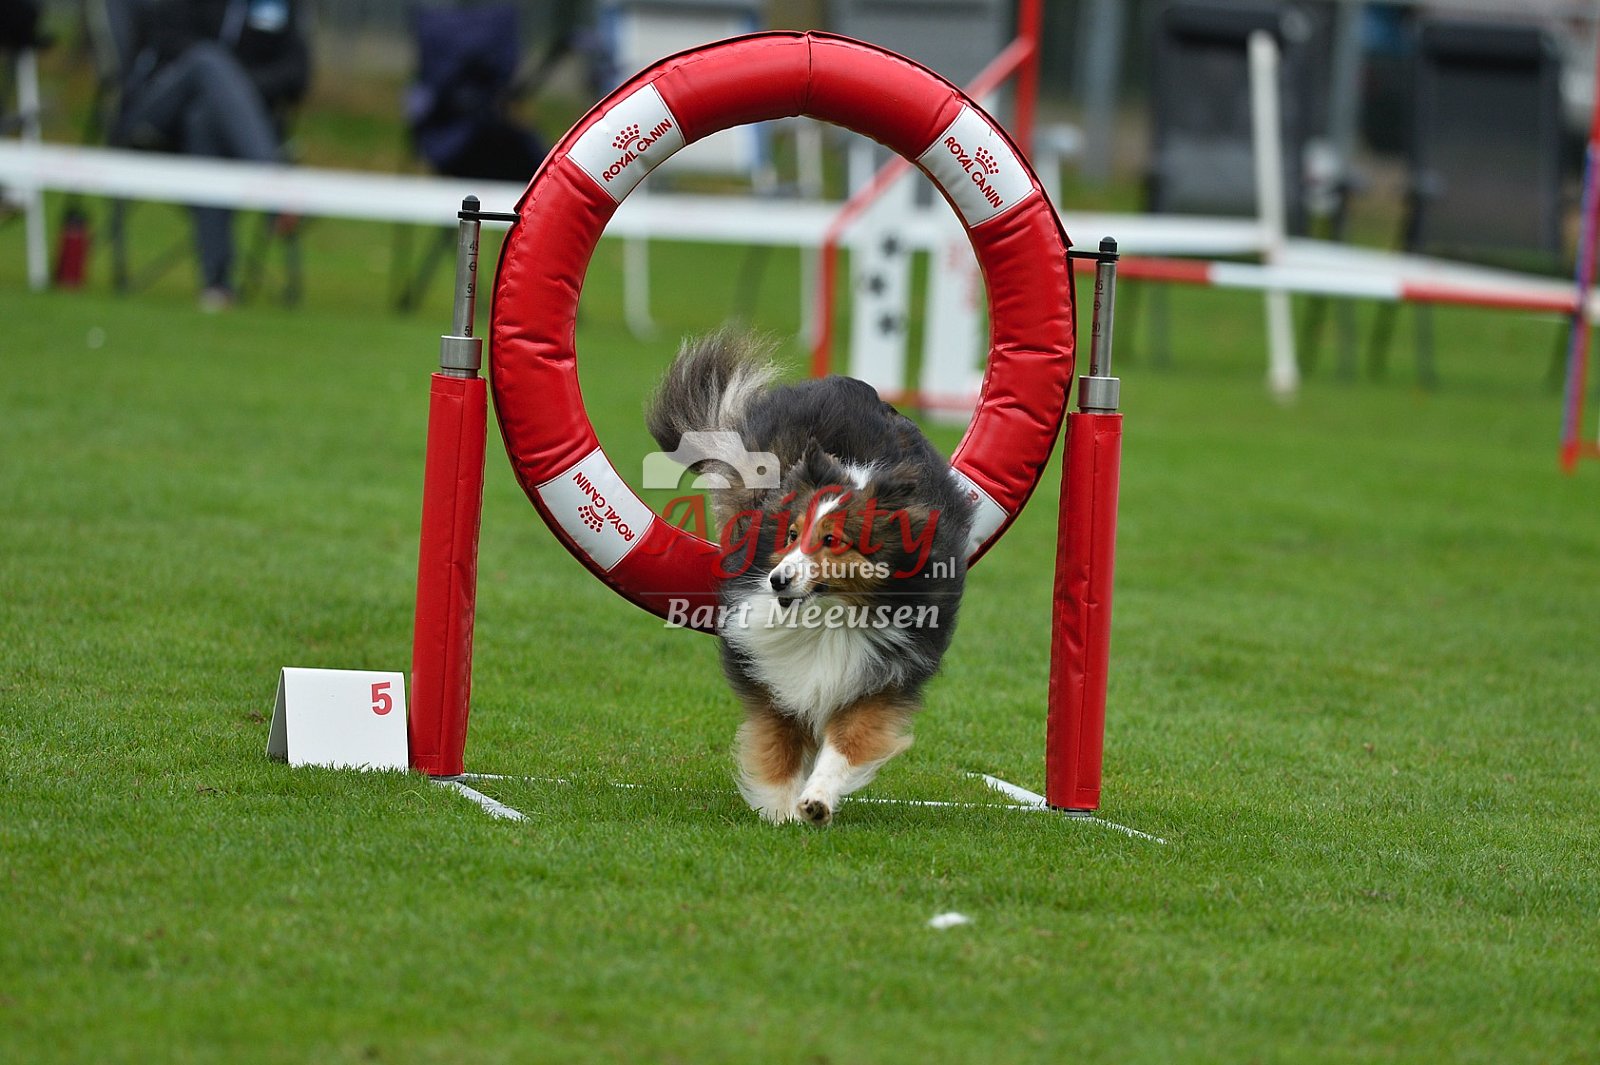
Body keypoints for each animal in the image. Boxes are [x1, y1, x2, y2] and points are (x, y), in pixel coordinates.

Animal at [646, 331, 975, 825]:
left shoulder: (883, 674)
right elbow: (778, 740)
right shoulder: (769, 667)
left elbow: (848, 741)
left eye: (833, 540)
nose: (778, 581)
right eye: (792, 534)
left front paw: (816, 800)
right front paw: (781, 811)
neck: (828, 616)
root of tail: (841, 382)